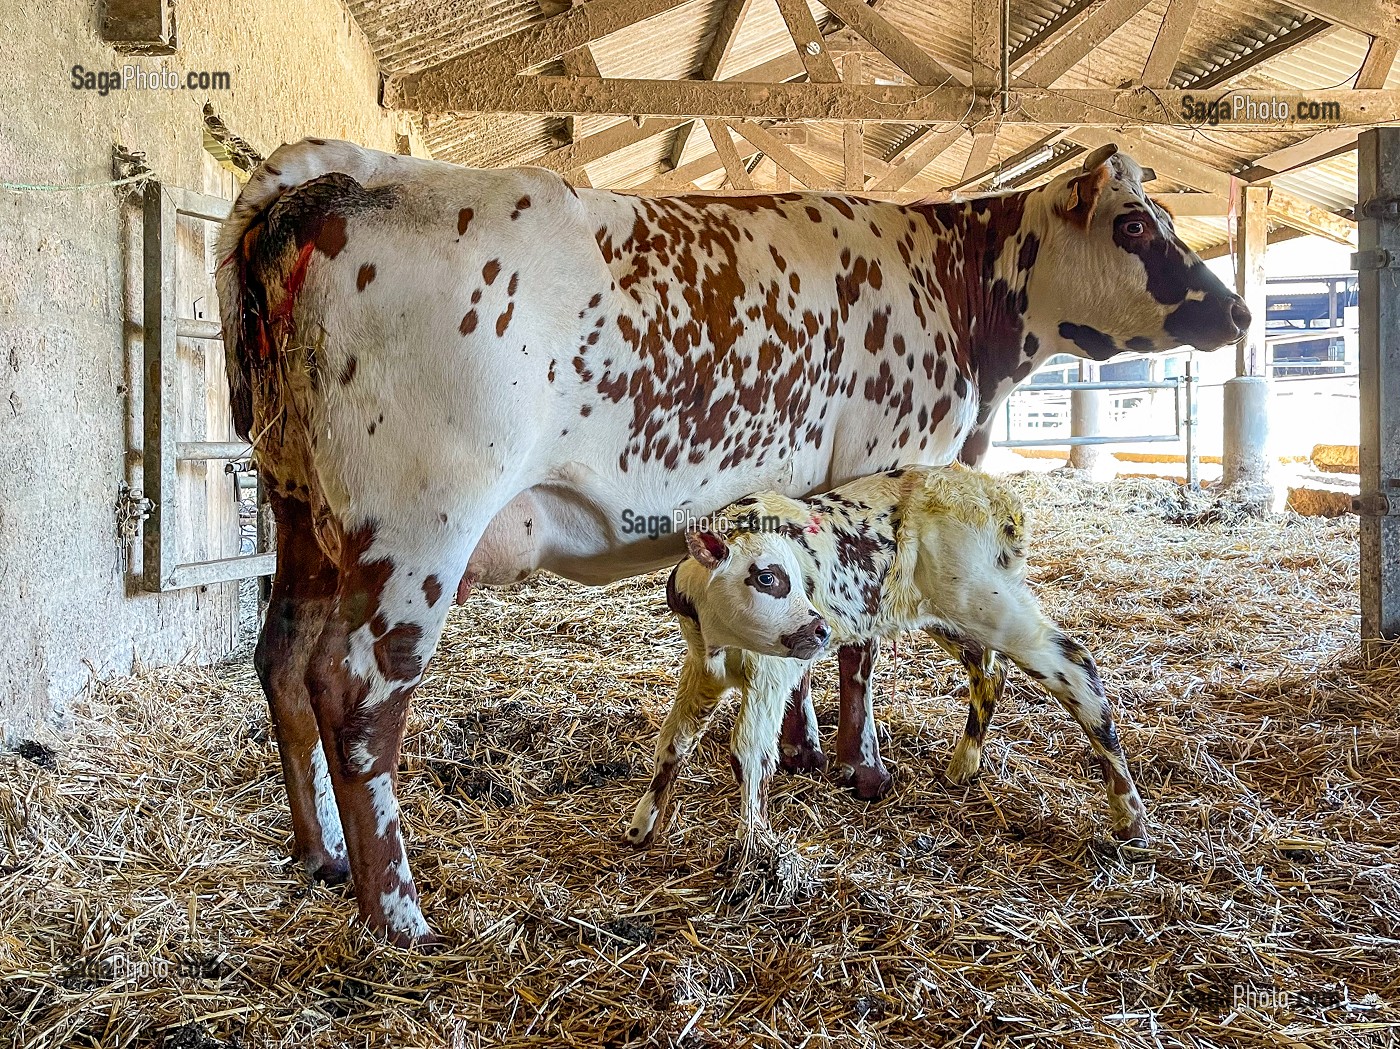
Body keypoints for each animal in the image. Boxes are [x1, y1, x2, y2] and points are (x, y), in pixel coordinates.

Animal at [625, 464, 1146, 847]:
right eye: (767, 576)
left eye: (790, 576)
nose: (818, 628)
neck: (721, 638)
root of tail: (992, 492)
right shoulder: (701, 670)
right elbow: (673, 742)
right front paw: (641, 824)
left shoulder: (771, 673)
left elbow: (749, 750)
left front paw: (754, 844)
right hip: (945, 613)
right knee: (989, 672)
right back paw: (962, 766)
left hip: (988, 602)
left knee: (1075, 665)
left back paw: (1129, 819)